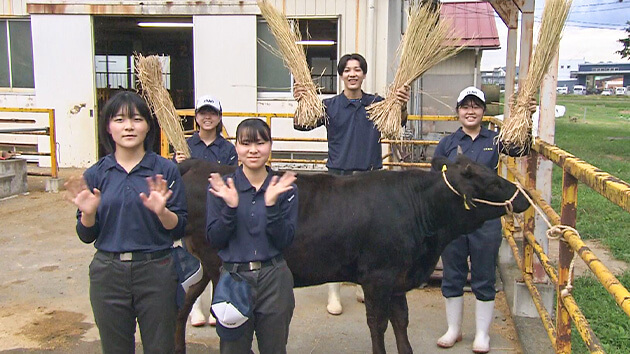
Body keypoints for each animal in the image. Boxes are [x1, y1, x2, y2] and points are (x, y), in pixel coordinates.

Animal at [174, 157, 532, 354]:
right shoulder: (378, 277)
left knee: (183, 306)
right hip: (219, 266)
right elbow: (378, 324)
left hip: (206, 265)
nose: (524, 197)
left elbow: (401, 321)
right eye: (491, 182)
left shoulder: (398, 279)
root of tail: (197, 165)